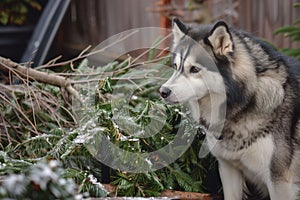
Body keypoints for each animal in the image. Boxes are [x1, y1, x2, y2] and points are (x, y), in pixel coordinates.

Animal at [161, 18, 300, 199]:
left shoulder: (279, 180)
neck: (246, 101)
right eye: (175, 66)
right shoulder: (228, 168)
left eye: (194, 69)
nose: (163, 91)